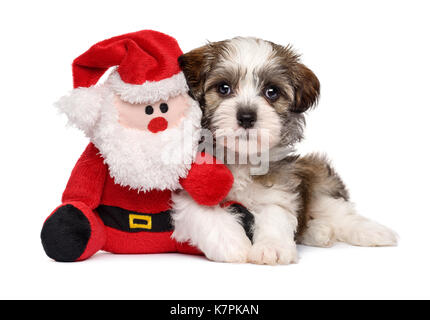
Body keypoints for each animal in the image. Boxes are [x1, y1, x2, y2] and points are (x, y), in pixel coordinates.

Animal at [170, 37, 396, 264]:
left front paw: (272, 247)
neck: (241, 157)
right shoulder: (188, 185)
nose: (246, 117)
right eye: (223, 88)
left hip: (316, 175)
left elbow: (275, 212)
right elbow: (202, 209)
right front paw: (232, 244)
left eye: (272, 92)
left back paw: (373, 232)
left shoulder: (279, 184)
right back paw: (319, 231)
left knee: (337, 210)